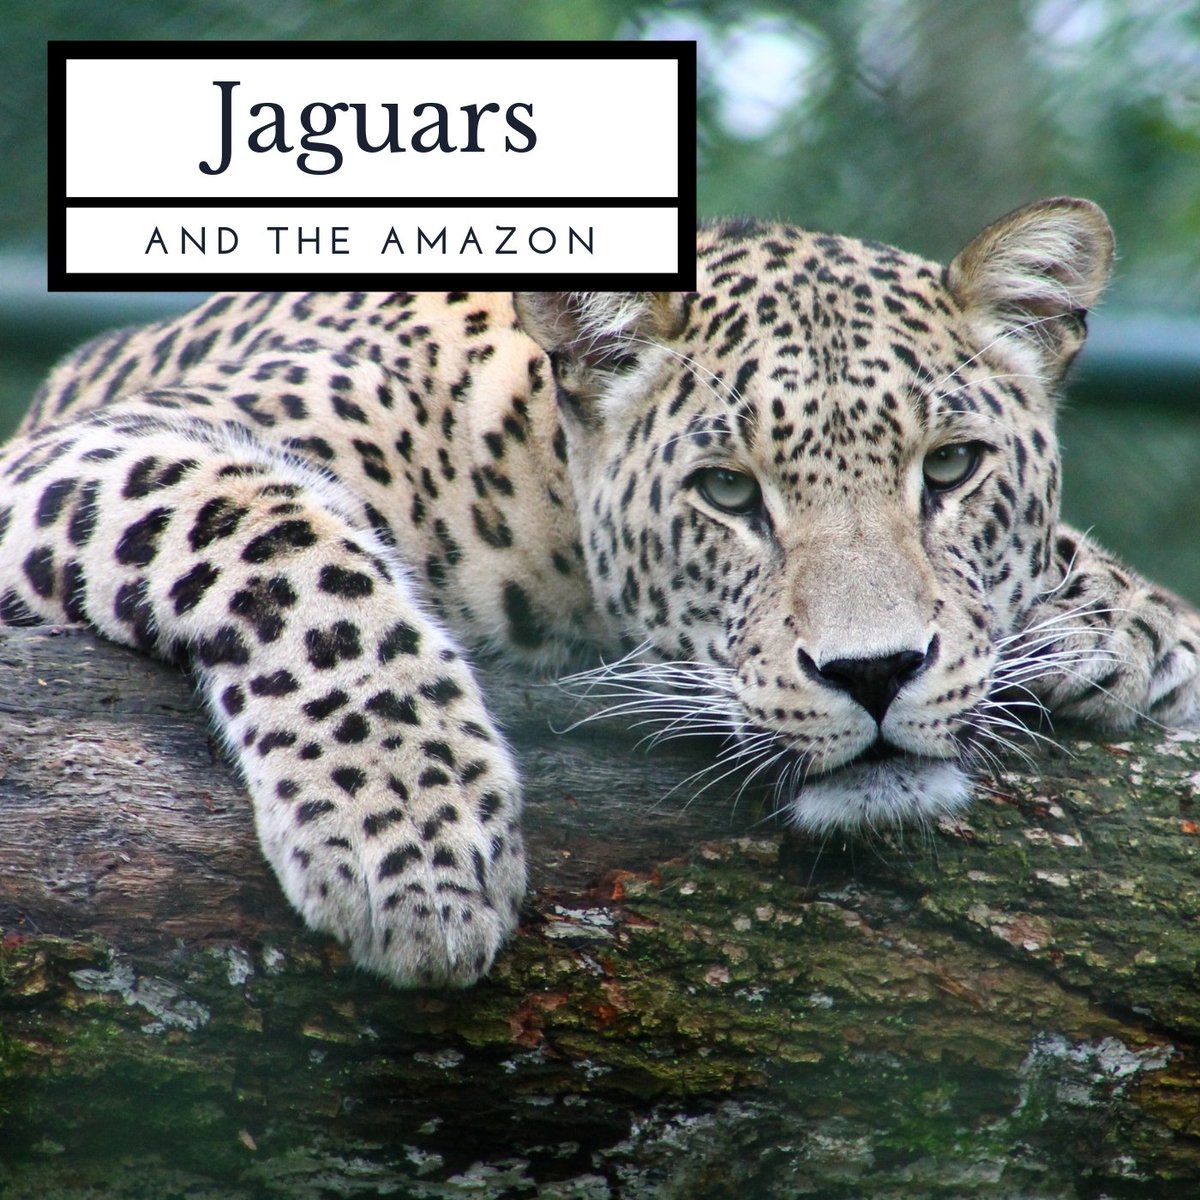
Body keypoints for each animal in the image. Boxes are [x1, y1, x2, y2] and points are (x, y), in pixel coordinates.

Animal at [2, 196, 1198, 988]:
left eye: (950, 469)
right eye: (727, 490)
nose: (877, 673)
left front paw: (1122, 624)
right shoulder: (89, 451)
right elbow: (287, 542)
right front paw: (412, 840)